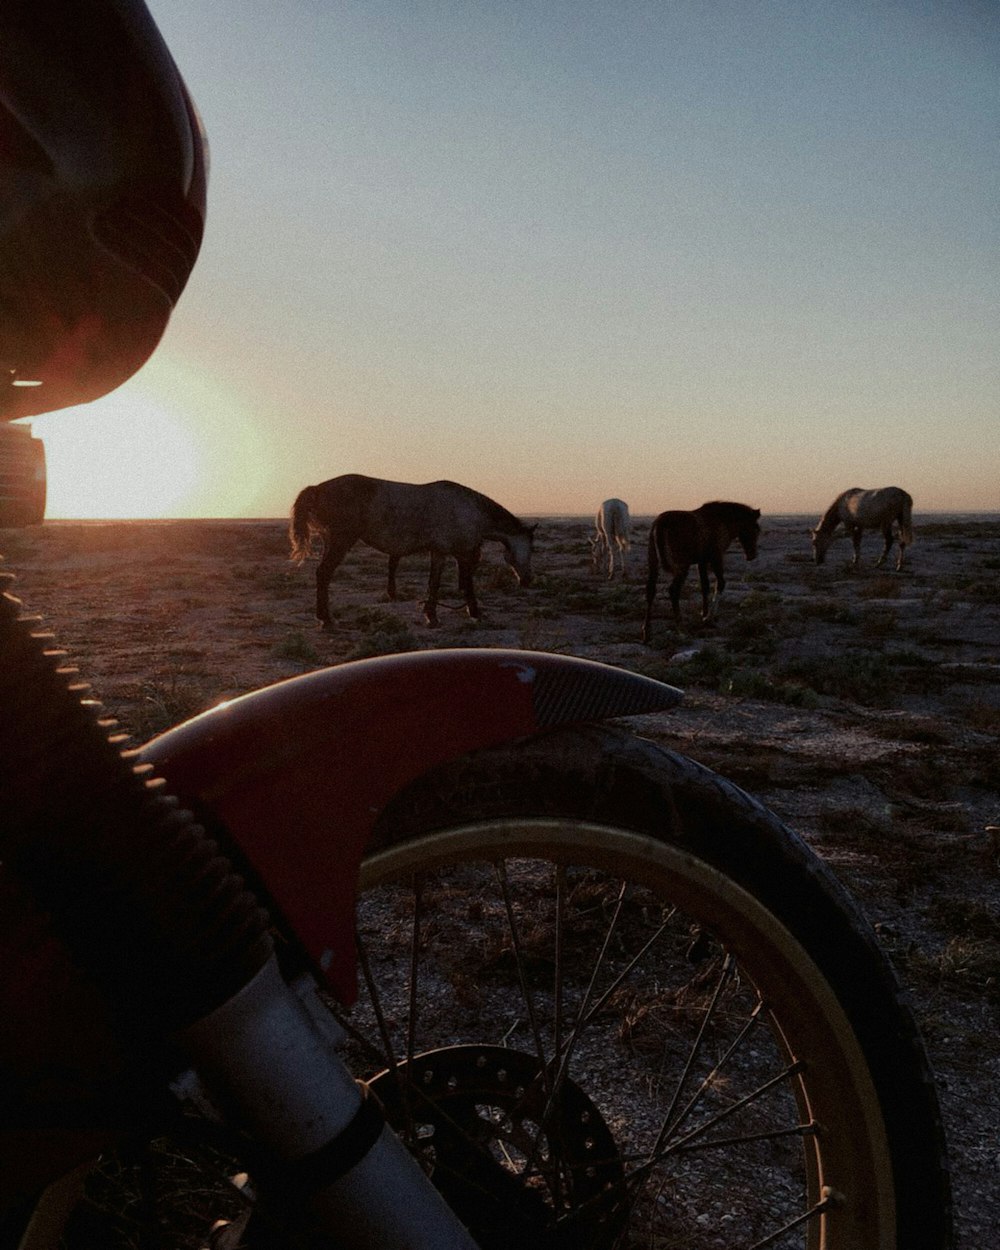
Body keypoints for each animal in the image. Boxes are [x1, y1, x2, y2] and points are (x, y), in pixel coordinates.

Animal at [288, 470, 535, 625]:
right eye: (532, 549)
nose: (528, 581)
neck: (470, 511)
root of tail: (317, 489)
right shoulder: (459, 554)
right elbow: (464, 584)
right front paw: (473, 613)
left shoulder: (440, 552)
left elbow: (435, 583)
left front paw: (431, 615)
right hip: (340, 541)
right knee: (324, 574)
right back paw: (327, 619)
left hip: (331, 542)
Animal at [645, 497, 760, 640]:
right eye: (755, 529)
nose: (752, 555)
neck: (722, 520)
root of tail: (660, 524)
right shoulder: (716, 558)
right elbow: (720, 583)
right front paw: (709, 618)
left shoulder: (702, 561)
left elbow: (704, 585)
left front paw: (703, 614)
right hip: (682, 567)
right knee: (673, 591)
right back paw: (681, 629)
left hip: (653, 564)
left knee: (650, 591)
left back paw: (647, 633)